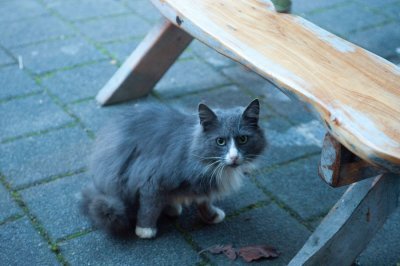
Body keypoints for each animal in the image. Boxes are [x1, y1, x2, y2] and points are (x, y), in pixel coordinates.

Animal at [79, 98, 268, 238]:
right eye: (220, 141)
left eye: (243, 139)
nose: (234, 157)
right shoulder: (152, 179)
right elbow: (149, 207)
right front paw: (145, 230)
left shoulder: (203, 184)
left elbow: (204, 201)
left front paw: (211, 216)